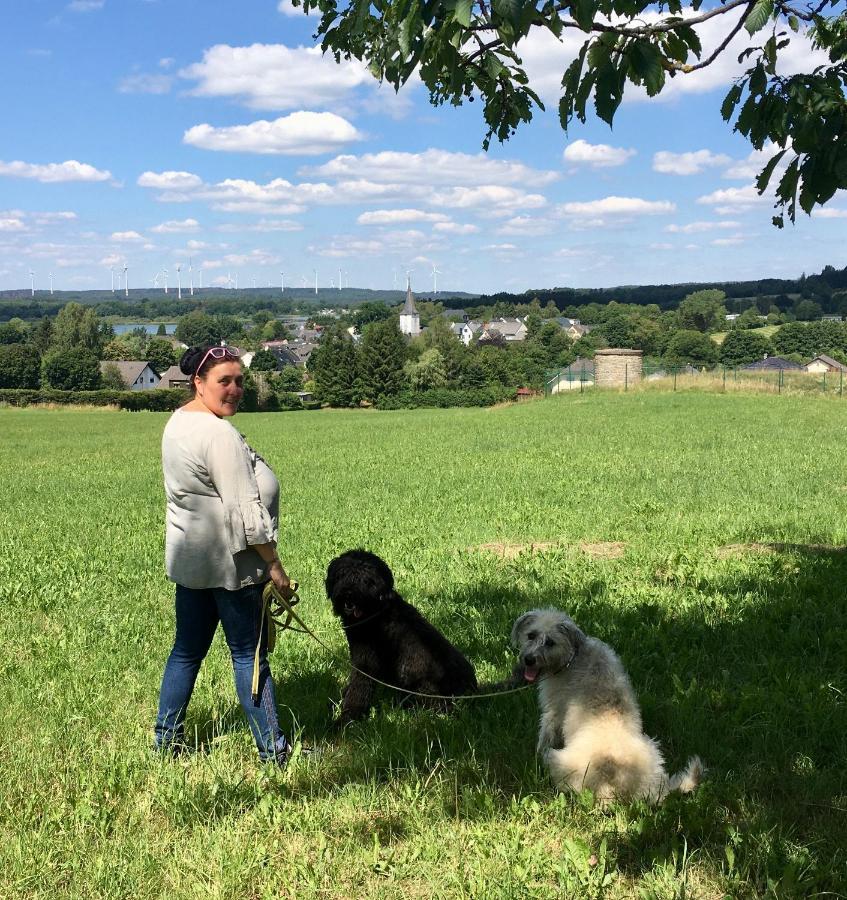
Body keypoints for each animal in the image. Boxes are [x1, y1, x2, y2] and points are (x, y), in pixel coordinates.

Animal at [328, 548, 480, 724]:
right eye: (342, 574)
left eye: (366, 579)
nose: (349, 594)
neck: (376, 612)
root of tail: (474, 692)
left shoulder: (365, 662)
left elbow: (357, 689)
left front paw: (346, 719)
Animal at [512, 608, 704, 804]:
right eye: (531, 635)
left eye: (550, 642)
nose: (528, 660)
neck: (571, 658)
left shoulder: (553, 711)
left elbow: (544, 736)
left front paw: (535, 755)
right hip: (652, 746)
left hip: (558, 759)